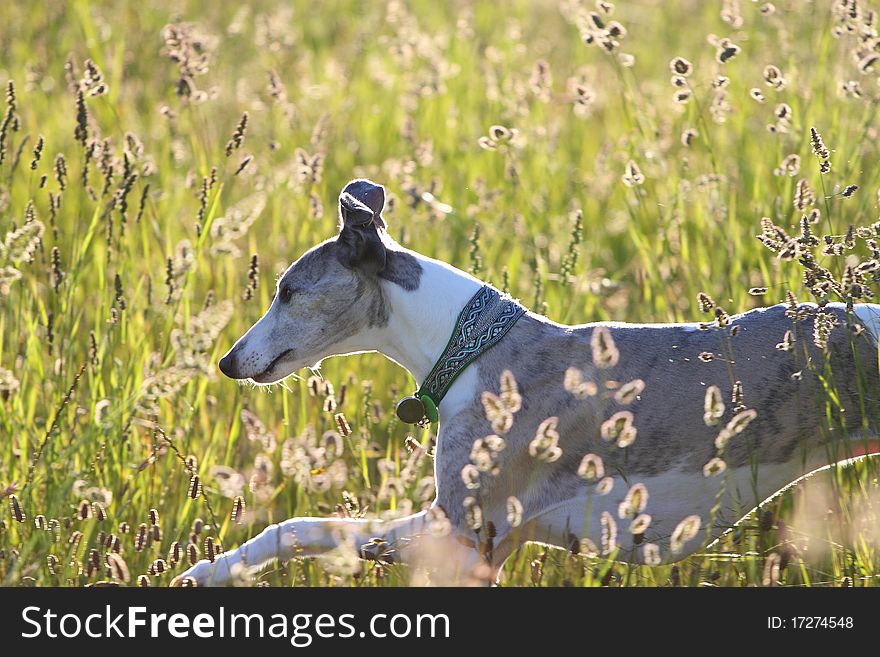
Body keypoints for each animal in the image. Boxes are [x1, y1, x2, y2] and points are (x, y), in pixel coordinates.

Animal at [172, 176, 880, 584]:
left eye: (288, 292)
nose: (229, 362)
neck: (468, 345)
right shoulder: (492, 548)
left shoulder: (463, 534)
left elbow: (300, 528)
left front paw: (209, 570)